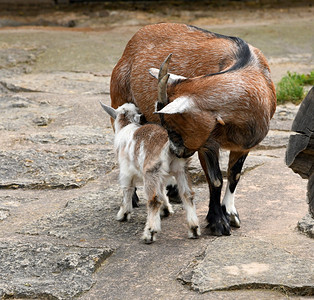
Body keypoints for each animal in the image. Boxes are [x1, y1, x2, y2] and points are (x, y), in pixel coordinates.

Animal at [100, 102, 200, 243]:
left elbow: (127, 190)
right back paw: (194, 229)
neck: (127, 125)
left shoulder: (126, 171)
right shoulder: (161, 176)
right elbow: (162, 190)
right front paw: (166, 210)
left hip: (150, 171)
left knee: (154, 200)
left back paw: (150, 233)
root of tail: (169, 145)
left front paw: (123, 214)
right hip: (180, 169)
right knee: (187, 194)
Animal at [109, 22, 276, 236]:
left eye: (172, 127)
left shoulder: (244, 145)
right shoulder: (207, 144)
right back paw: (134, 197)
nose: (176, 151)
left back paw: (172, 191)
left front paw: (231, 214)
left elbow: (235, 176)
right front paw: (218, 222)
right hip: (118, 102)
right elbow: (215, 180)